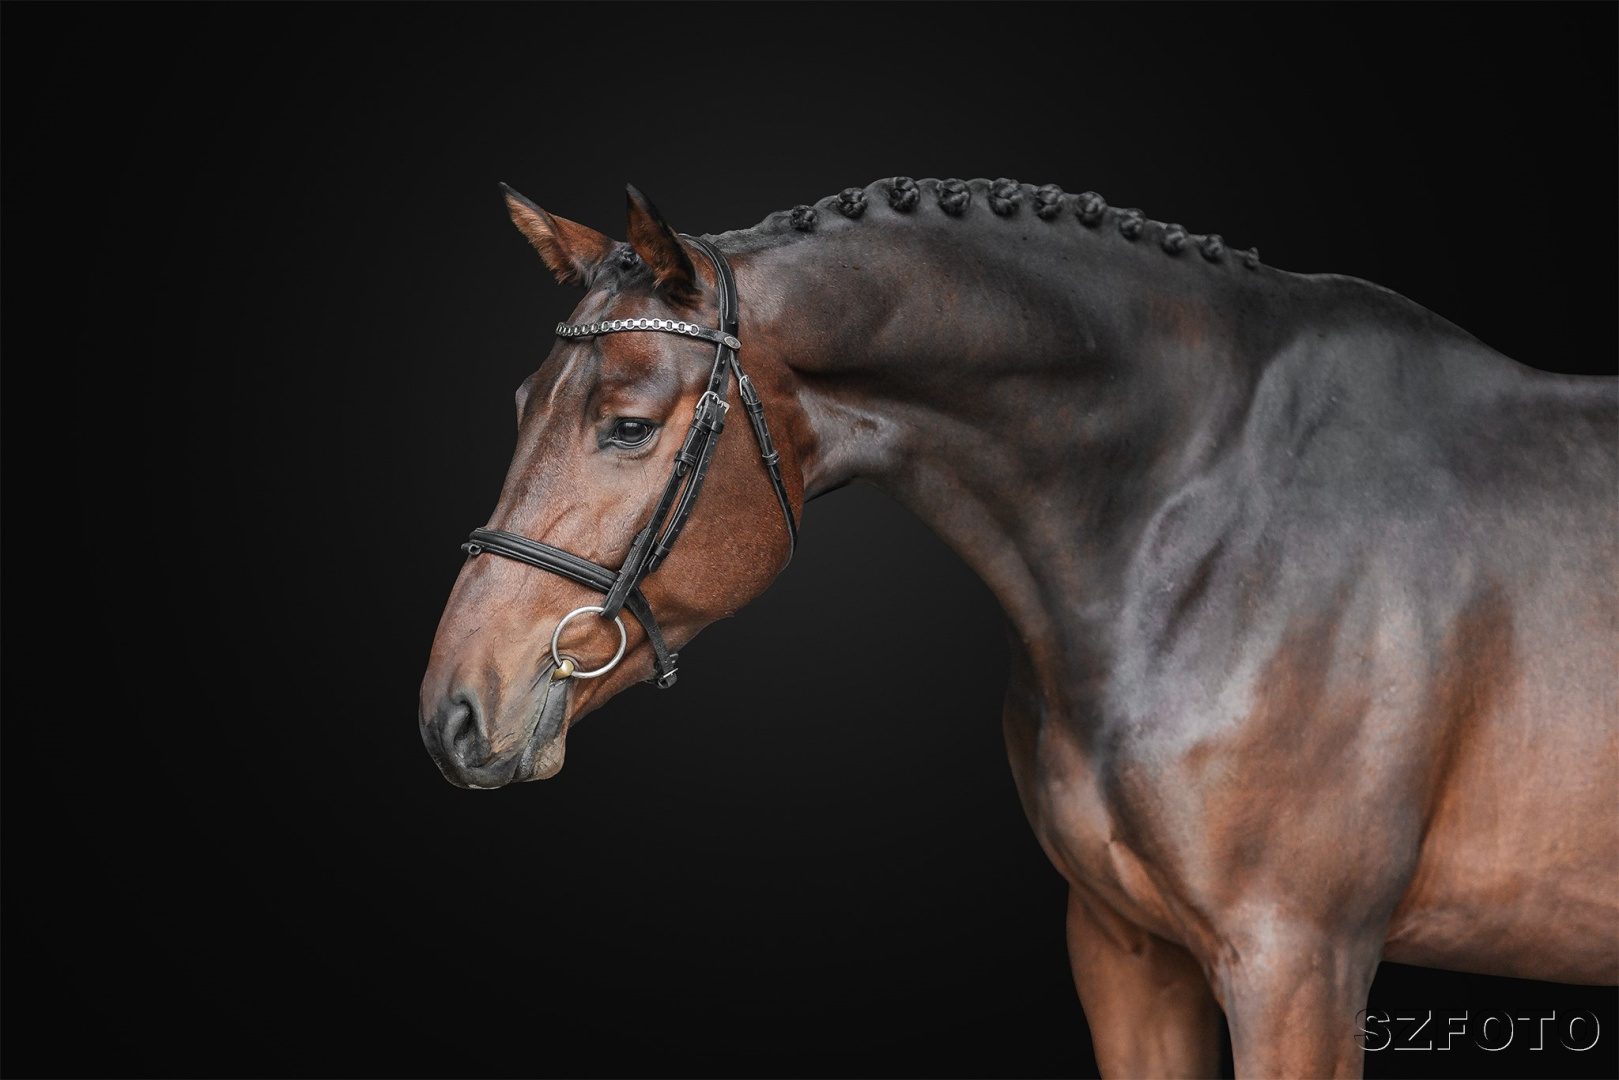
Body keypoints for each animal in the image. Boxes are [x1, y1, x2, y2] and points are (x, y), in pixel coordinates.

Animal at [419, 176, 1618, 1078]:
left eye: (626, 426)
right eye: (522, 404)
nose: (453, 715)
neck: (1203, 510)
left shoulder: (1298, 964)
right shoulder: (1126, 951)